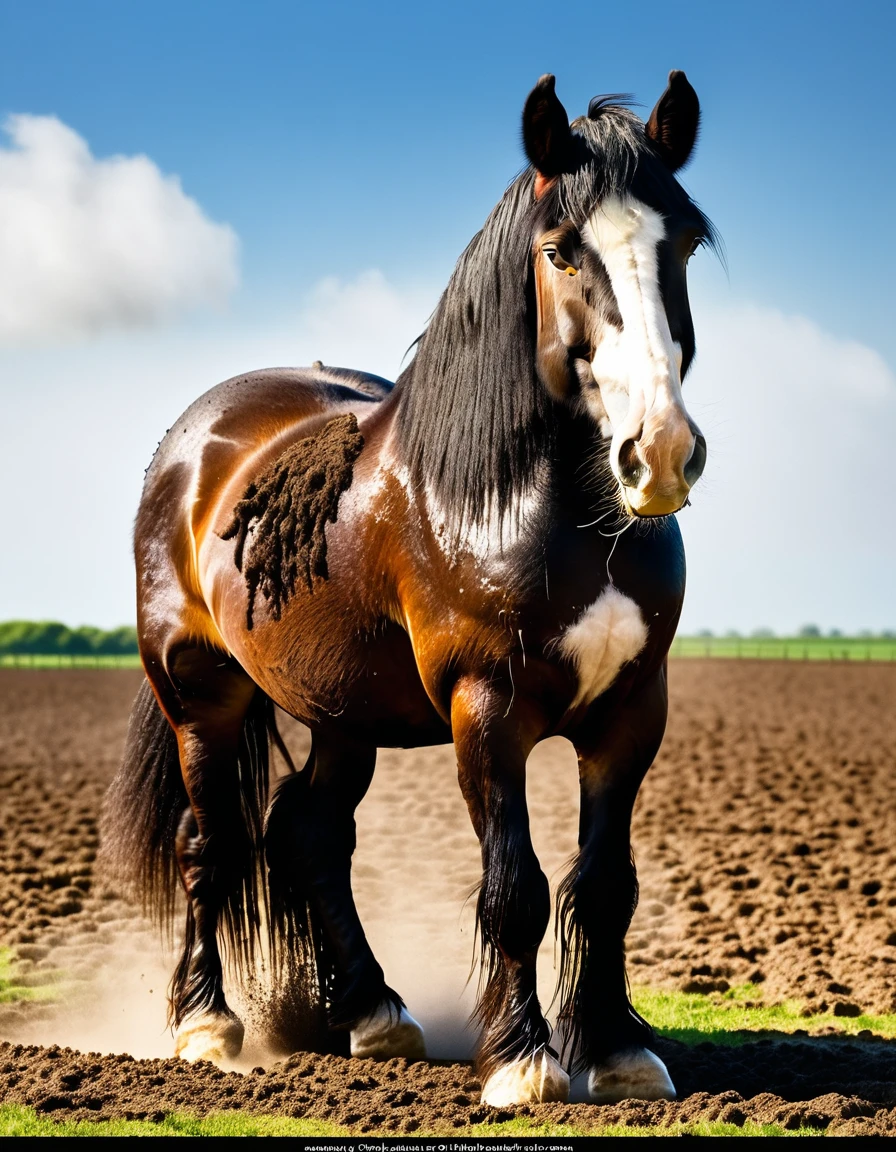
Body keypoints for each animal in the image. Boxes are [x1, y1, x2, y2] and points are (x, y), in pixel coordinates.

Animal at [104, 69, 714, 1105]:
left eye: (684, 243)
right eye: (559, 251)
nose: (659, 452)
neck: (538, 509)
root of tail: (191, 440)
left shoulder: (633, 713)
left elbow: (604, 885)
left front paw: (617, 1050)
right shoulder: (487, 709)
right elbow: (516, 885)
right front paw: (522, 1061)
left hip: (344, 710)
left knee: (307, 834)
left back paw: (371, 1014)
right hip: (200, 695)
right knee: (208, 841)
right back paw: (205, 1026)